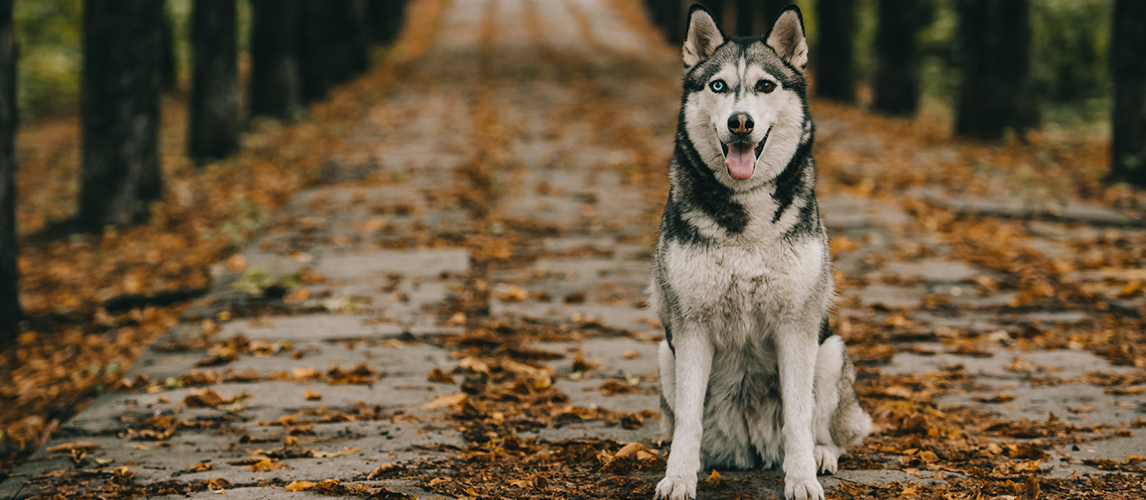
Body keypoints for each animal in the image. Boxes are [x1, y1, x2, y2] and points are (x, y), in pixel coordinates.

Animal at [650, 4, 870, 499]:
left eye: (766, 86)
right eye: (718, 86)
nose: (741, 122)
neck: (746, 217)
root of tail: (748, 447)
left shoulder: (796, 326)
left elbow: (798, 416)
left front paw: (802, 478)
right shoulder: (690, 327)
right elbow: (688, 419)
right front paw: (679, 476)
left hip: (830, 350)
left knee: (825, 427)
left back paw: (822, 454)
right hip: (665, 354)